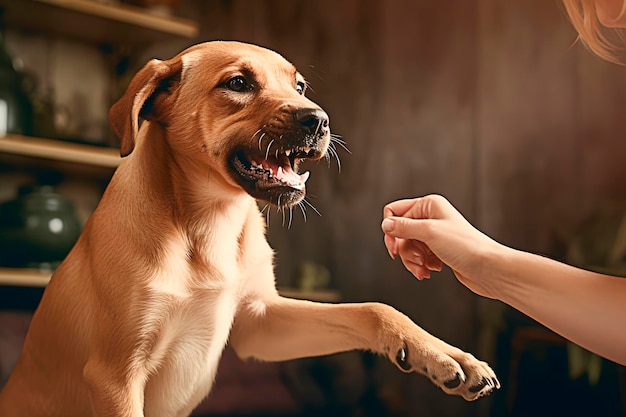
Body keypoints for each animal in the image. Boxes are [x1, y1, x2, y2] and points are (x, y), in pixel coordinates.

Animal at [0, 39, 498, 416]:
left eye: (298, 85)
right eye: (238, 83)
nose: (320, 121)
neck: (207, 223)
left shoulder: (259, 321)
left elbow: (372, 309)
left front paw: (442, 354)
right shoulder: (115, 377)